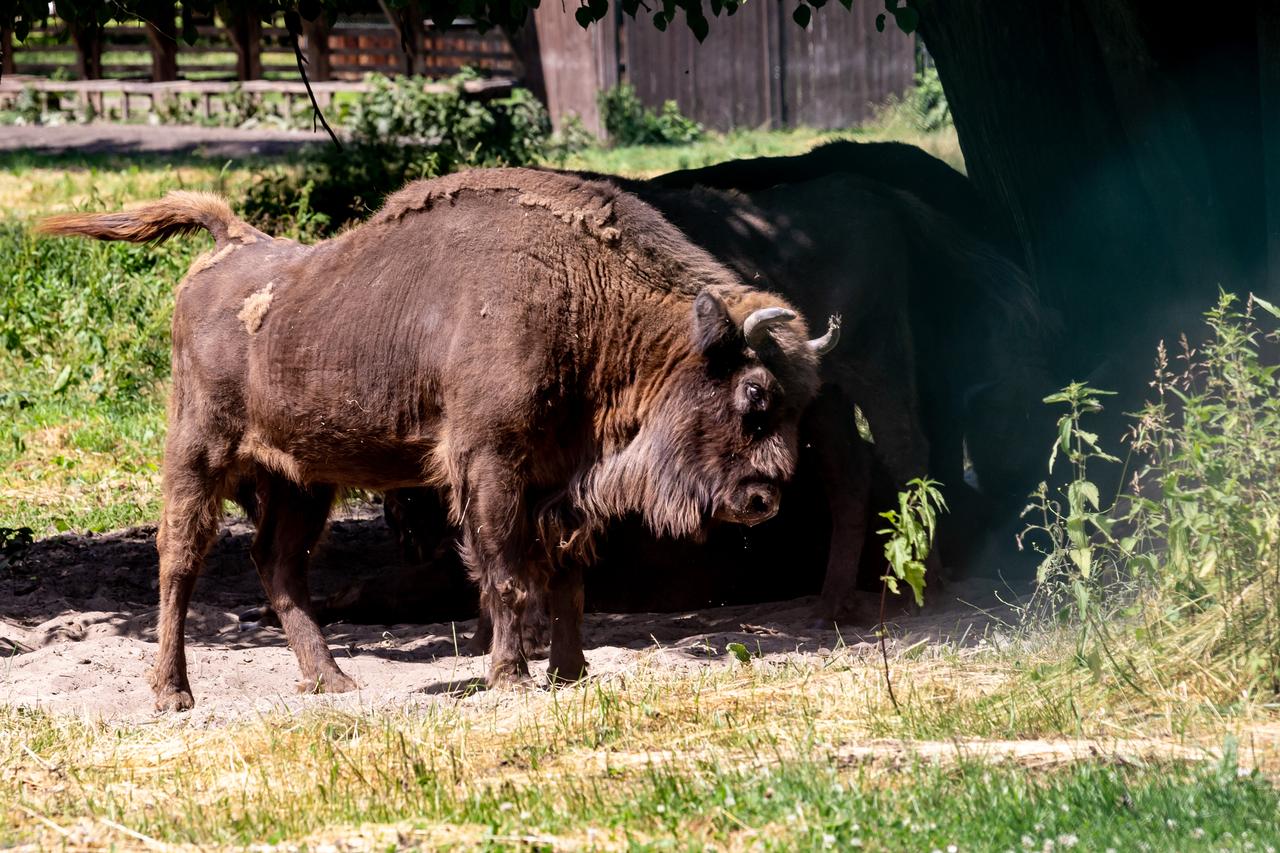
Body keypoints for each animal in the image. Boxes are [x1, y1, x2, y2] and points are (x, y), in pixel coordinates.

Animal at [40, 167, 839, 712]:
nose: (764, 498)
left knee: (278, 565)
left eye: (803, 403)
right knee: (179, 559)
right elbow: (507, 574)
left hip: (303, 478)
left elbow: (569, 579)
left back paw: (332, 681)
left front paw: (572, 673)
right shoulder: (491, 465)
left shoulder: (561, 483)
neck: (583, 296)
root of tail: (229, 244)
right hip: (198, 451)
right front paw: (512, 678)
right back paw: (173, 693)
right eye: (754, 394)